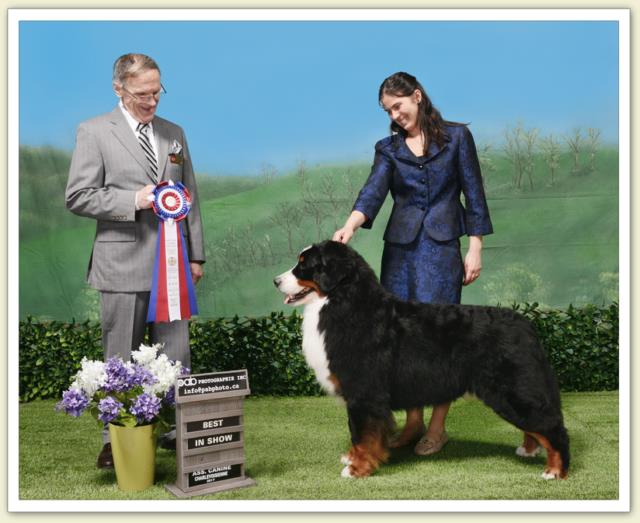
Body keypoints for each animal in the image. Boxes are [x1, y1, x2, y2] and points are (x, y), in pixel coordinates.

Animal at [272, 241, 568, 478]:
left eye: (304, 265)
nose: (276, 281)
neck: (344, 303)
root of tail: (526, 324)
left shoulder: (364, 393)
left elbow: (363, 434)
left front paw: (357, 469)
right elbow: (359, 433)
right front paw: (352, 458)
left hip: (513, 390)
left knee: (552, 426)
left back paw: (555, 470)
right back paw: (528, 450)